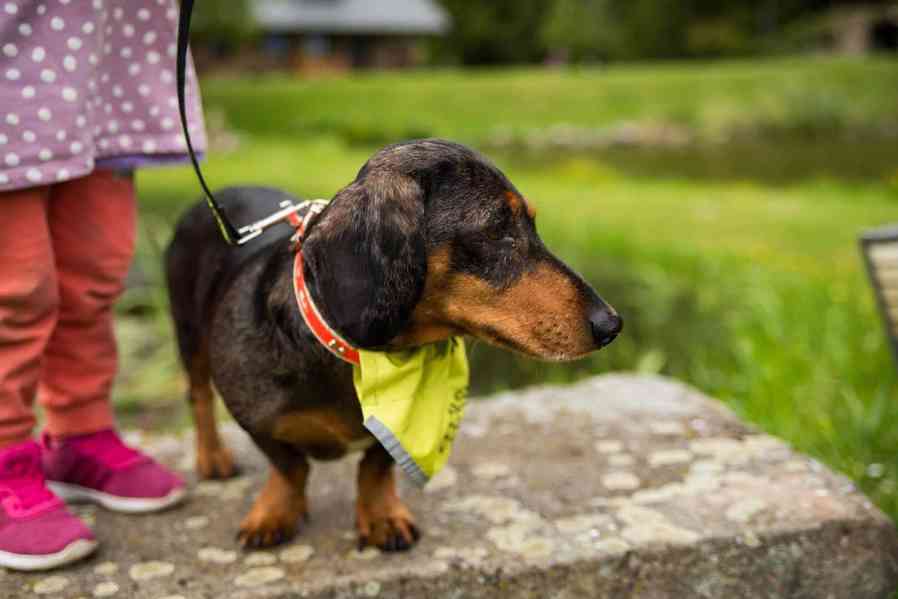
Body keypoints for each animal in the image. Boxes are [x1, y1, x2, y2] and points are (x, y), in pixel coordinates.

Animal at [164, 138, 620, 552]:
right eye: (496, 230)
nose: (611, 324)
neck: (360, 360)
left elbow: (375, 467)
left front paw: (381, 517)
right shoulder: (253, 417)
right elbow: (289, 467)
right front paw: (275, 513)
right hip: (188, 334)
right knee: (198, 395)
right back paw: (212, 458)